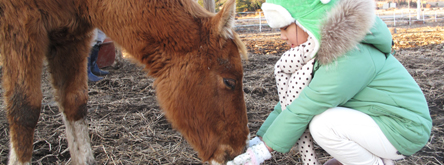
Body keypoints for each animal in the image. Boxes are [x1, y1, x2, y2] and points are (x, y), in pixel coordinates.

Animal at [0, 0, 250, 164]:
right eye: (229, 81)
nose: (237, 150)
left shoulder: (70, 34)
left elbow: (74, 102)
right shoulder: (19, 24)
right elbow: (25, 109)